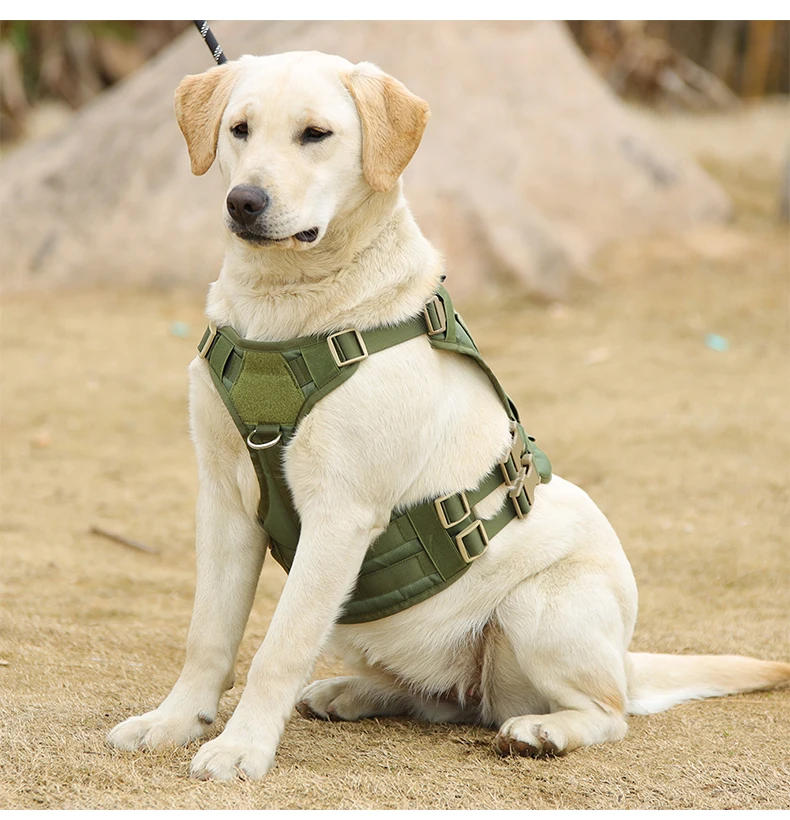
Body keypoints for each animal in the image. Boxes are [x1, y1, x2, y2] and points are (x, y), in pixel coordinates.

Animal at [106, 49, 790, 780]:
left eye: (316, 134)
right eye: (239, 129)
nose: (244, 201)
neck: (289, 311)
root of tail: (627, 662)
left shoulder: (339, 514)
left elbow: (278, 648)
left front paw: (241, 747)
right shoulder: (225, 499)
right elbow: (207, 635)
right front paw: (175, 722)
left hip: (538, 606)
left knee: (604, 714)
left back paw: (544, 731)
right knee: (439, 700)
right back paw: (352, 692)